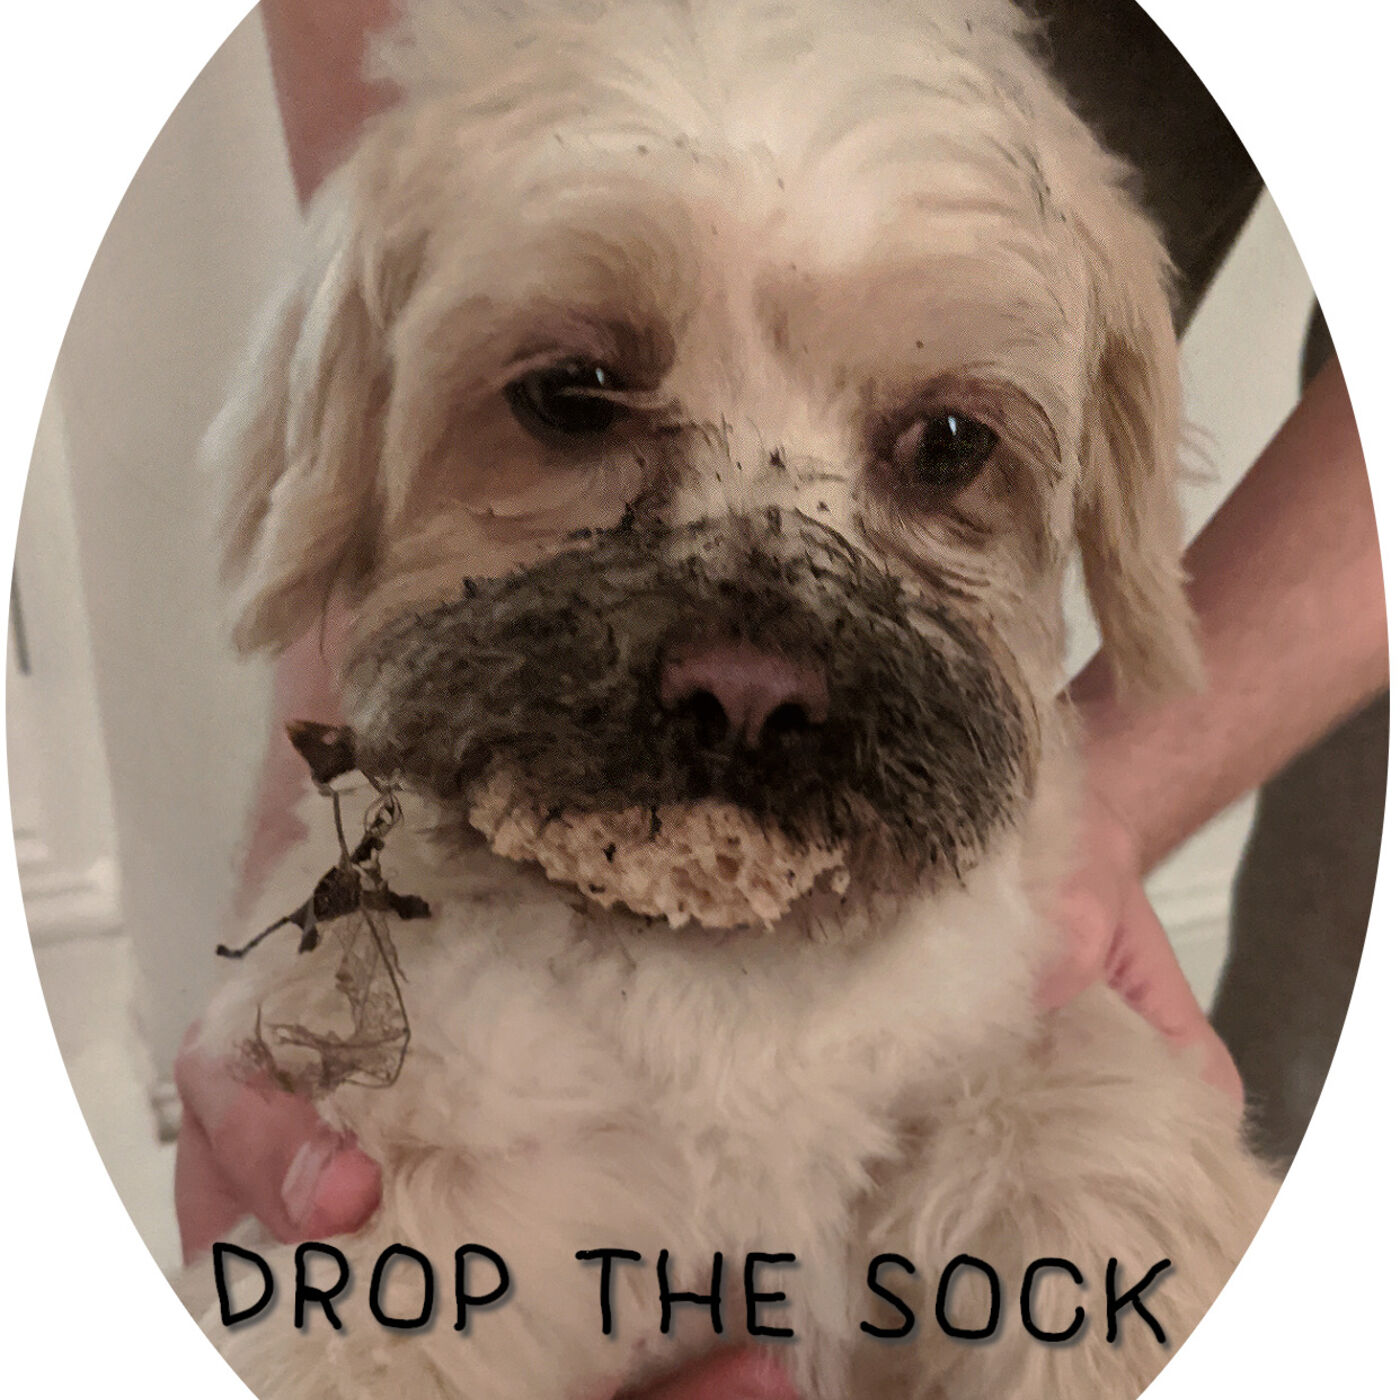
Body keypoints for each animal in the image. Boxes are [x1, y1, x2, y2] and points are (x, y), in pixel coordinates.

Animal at [188, 2, 1277, 1396]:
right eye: (570, 393)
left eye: (948, 440)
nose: (749, 696)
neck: (728, 996)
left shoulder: (1038, 1093)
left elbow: (1094, 1162)